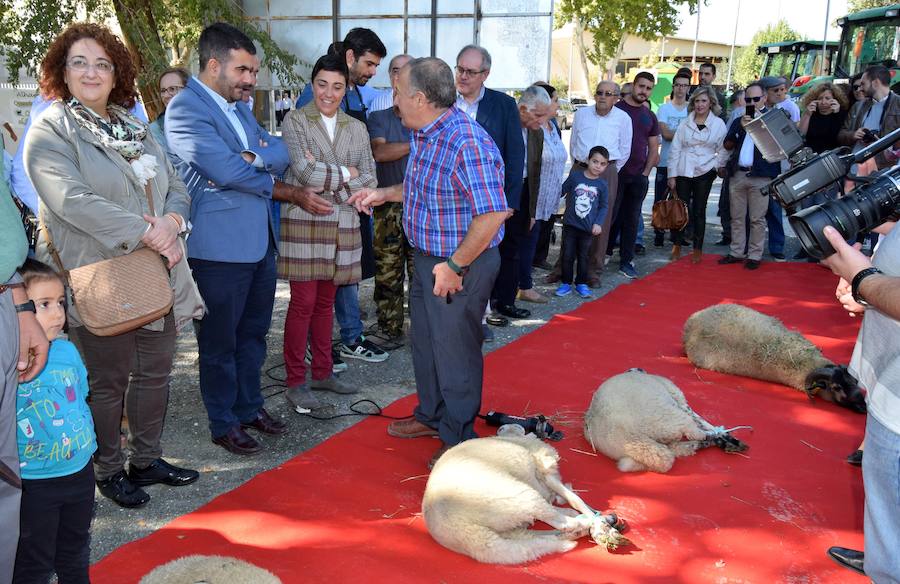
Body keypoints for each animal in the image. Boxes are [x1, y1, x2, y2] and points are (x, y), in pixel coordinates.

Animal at [420, 428, 624, 564]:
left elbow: (567, 502)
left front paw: (604, 518)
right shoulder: (546, 473)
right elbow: (576, 500)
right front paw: (600, 521)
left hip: (509, 524)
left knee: (538, 535)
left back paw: (580, 531)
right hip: (519, 495)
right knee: (562, 523)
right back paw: (587, 525)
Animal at [584, 370, 744, 474]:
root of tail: (631, 436)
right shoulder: (679, 399)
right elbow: (699, 418)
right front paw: (723, 433)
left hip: (646, 455)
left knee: (681, 449)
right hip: (672, 420)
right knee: (696, 434)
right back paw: (724, 441)